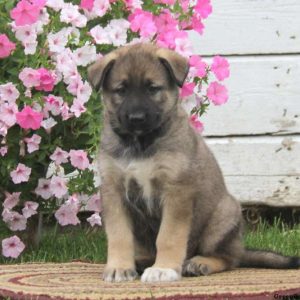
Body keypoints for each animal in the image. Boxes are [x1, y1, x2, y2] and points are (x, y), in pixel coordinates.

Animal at [87, 43, 300, 282]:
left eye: (153, 88)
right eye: (121, 90)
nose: (136, 118)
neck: (141, 143)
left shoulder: (176, 191)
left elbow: (168, 236)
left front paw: (164, 268)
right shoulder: (114, 191)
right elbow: (119, 235)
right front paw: (119, 267)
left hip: (223, 214)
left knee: (229, 259)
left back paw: (199, 263)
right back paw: (142, 261)